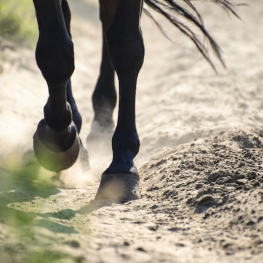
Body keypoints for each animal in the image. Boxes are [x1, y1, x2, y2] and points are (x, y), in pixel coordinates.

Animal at [32, 0, 240, 202]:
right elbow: (54, 51)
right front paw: (58, 138)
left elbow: (125, 45)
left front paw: (122, 164)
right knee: (72, 20)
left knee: (106, 16)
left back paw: (102, 115)